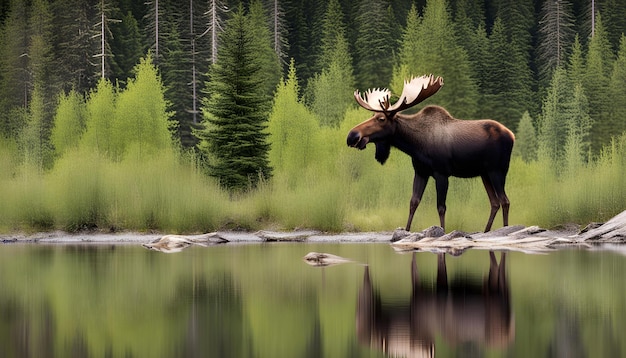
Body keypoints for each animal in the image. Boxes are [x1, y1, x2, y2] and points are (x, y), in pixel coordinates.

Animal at [346, 75, 512, 232]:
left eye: (381, 118)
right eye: (372, 116)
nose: (352, 136)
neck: (416, 146)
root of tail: (512, 136)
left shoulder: (442, 173)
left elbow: (441, 207)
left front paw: (443, 230)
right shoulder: (421, 172)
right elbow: (413, 202)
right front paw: (407, 229)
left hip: (497, 170)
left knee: (505, 200)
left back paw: (504, 228)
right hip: (485, 173)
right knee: (494, 202)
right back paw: (486, 231)